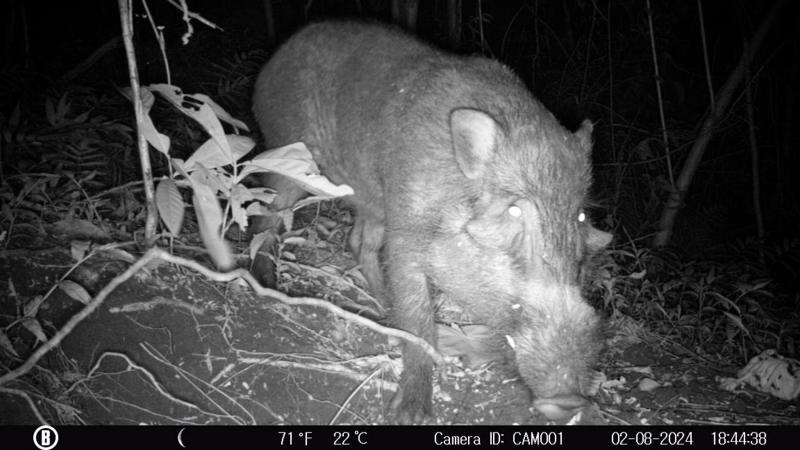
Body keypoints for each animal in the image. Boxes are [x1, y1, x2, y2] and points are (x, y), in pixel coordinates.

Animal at [252, 21, 612, 423]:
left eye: (580, 218)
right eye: (515, 213)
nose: (570, 402)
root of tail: (276, 57)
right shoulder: (406, 231)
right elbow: (417, 317)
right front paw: (410, 415)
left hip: (372, 202)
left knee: (358, 242)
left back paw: (381, 307)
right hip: (288, 153)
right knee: (266, 213)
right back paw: (265, 285)